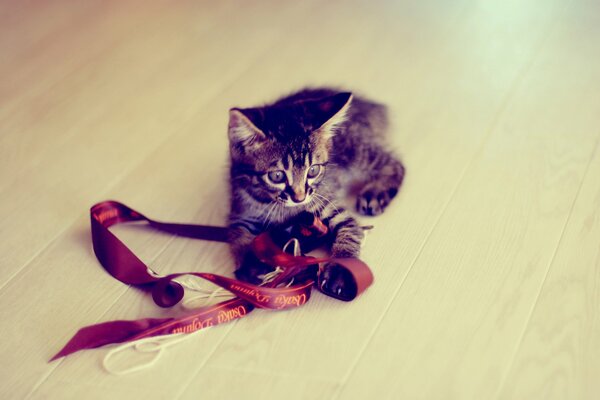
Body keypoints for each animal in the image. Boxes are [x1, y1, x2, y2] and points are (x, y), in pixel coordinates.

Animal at [227, 87, 406, 294]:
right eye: (277, 176)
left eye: (313, 170)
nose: (299, 197)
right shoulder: (240, 212)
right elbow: (238, 234)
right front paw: (252, 264)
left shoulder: (327, 202)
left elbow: (350, 230)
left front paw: (341, 270)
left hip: (356, 152)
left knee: (395, 164)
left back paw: (374, 194)